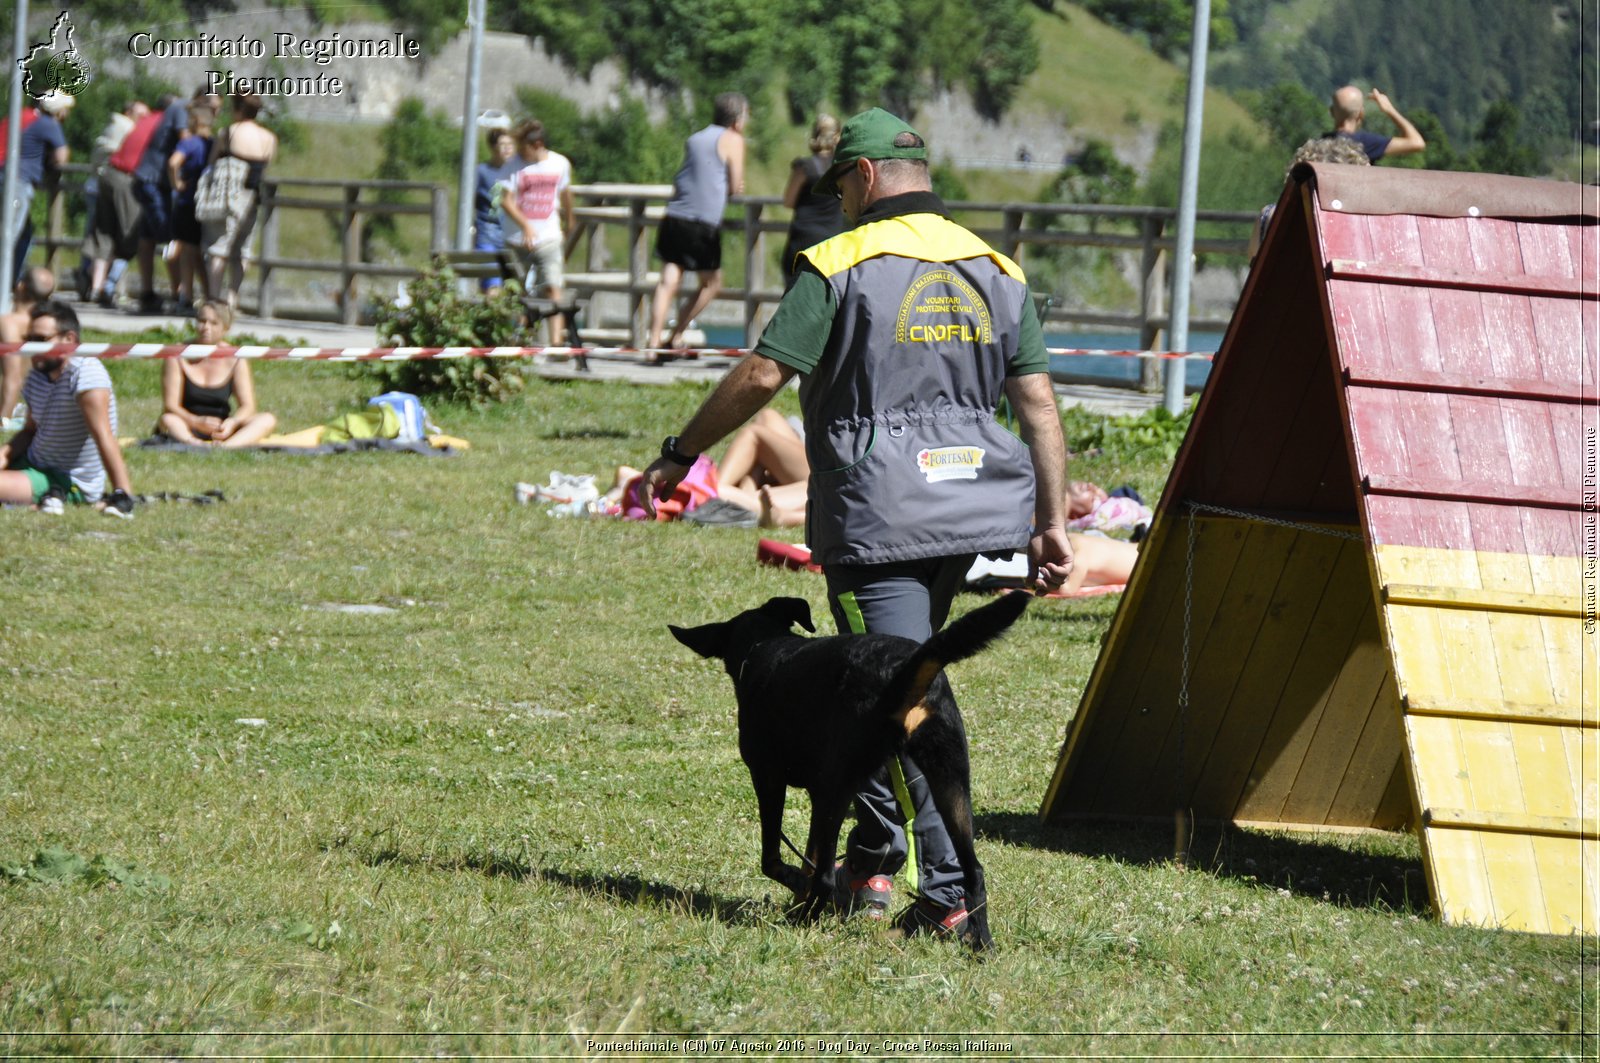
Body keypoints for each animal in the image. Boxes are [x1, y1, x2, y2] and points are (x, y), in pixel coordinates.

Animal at [668, 592, 1030, 947]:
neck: (764, 647)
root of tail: (902, 667)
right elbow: (809, 856)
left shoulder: (769, 778)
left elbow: (773, 858)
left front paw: (797, 886)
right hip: (949, 779)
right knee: (974, 871)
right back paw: (982, 944)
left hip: (839, 786)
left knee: (826, 876)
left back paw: (802, 921)